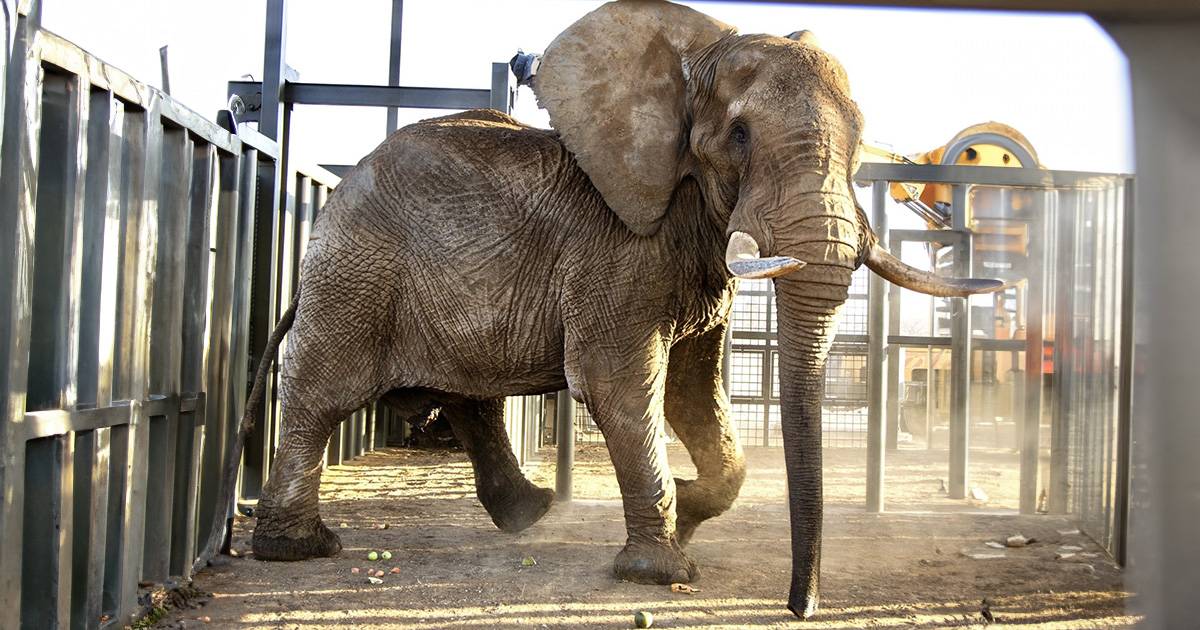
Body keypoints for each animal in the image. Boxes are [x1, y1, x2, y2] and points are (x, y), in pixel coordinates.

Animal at [218, 0, 1003, 619]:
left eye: (862, 140)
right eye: (740, 136)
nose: (801, 606)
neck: (692, 60)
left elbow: (694, 391)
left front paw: (688, 511)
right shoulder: (619, 248)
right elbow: (620, 387)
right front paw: (664, 571)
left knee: (468, 396)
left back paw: (529, 513)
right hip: (356, 276)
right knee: (322, 397)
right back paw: (299, 549)